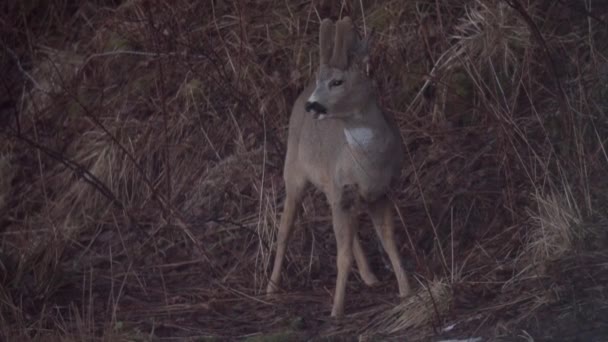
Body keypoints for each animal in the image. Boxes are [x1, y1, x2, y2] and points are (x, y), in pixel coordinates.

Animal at [264, 16, 408, 318]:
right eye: (322, 80)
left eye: (337, 81)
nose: (313, 105)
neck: (369, 163)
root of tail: (300, 94)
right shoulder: (344, 190)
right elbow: (342, 255)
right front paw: (337, 310)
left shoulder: (380, 192)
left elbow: (387, 239)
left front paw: (406, 289)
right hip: (293, 171)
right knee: (284, 230)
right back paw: (271, 288)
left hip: (332, 187)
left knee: (349, 234)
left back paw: (370, 277)